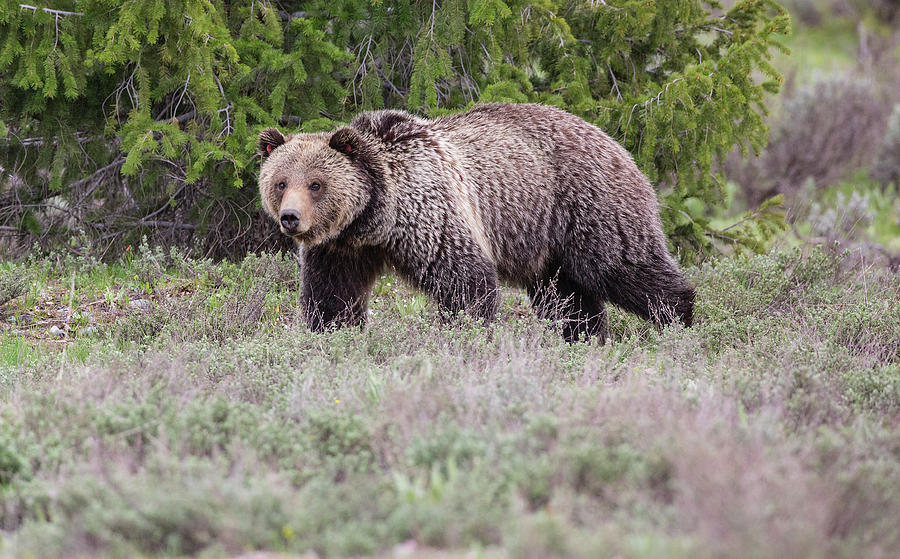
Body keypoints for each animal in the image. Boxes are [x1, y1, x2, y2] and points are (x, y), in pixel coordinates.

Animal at [256, 103, 692, 344]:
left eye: (316, 183)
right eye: (281, 182)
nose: (291, 218)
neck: (376, 218)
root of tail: (614, 140)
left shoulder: (431, 213)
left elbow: (465, 281)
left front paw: (464, 333)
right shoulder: (341, 248)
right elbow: (332, 296)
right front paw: (331, 335)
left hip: (587, 206)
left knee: (626, 267)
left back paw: (680, 321)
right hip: (546, 244)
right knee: (566, 298)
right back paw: (584, 338)